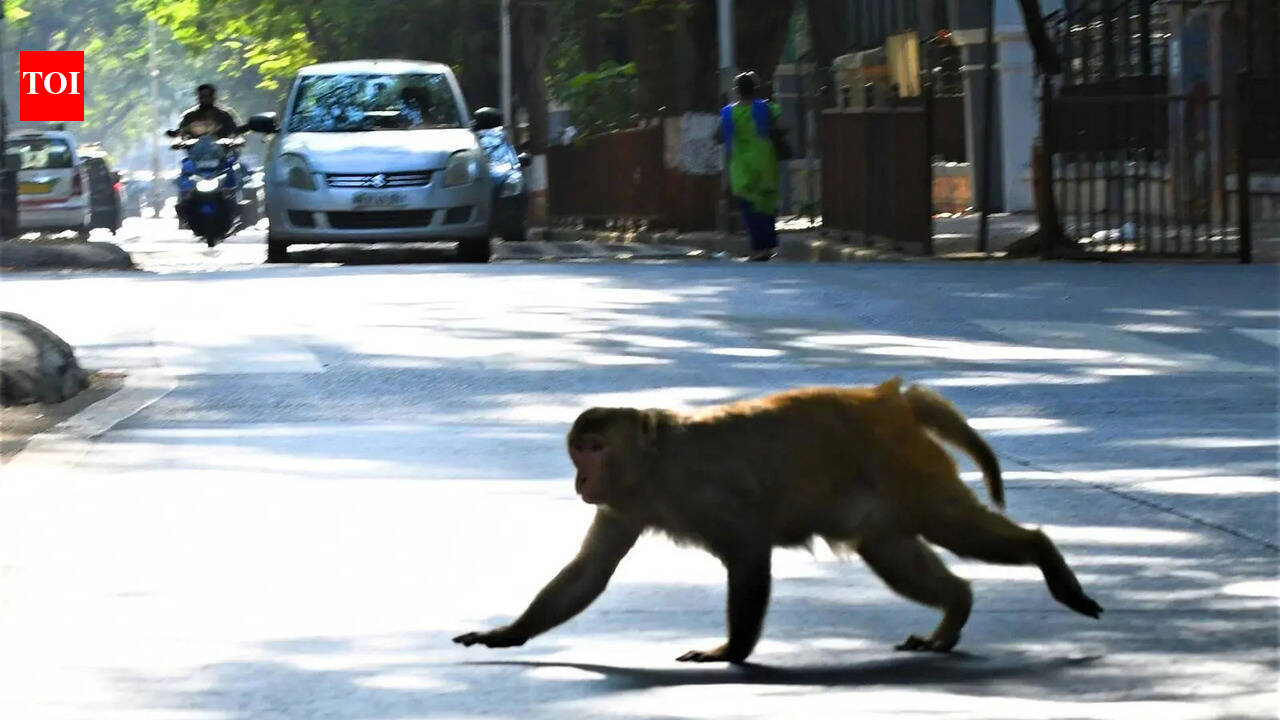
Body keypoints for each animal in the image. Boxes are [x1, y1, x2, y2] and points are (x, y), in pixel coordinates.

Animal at [453, 378, 1102, 664]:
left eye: (593, 449)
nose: (580, 480)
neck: (653, 463)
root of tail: (888, 397)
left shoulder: (700, 489)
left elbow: (747, 552)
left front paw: (731, 651)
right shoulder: (623, 503)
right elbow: (589, 572)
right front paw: (508, 632)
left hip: (906, 466)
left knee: (952, 524)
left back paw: (1044, 554)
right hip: (887, 486)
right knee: (891, 550)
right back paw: (955, 610)